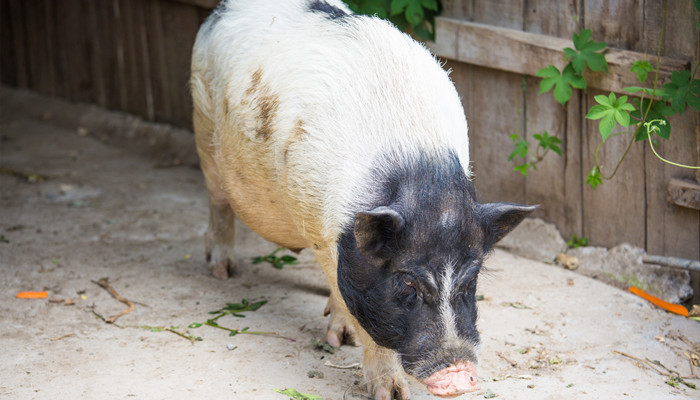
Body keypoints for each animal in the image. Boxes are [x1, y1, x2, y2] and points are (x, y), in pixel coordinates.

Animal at [189, 0, 532, 396]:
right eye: (407, 282)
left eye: (470, 279)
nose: (459, 377)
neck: (421, 171)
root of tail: (224, 10)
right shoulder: (326, 234)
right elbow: (358, 307)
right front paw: (389, 392)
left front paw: (346, 342)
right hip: (203, 125)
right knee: (218, 201)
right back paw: (222, 271)